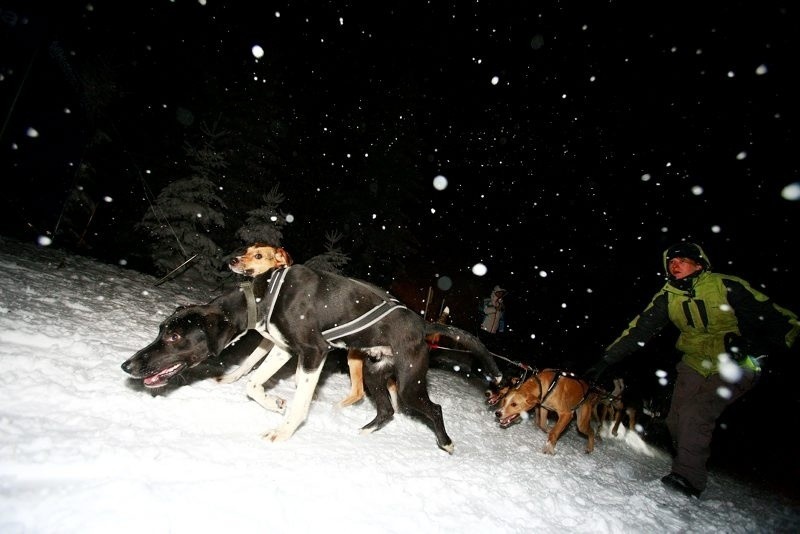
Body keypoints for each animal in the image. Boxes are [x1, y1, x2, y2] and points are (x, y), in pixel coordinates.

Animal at [121, 264, 504, 452]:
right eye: (160, 330)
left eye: (174, 337)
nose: (128, 365)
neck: (261, 296)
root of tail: (422, 322)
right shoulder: (282, 347)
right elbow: (253, 383)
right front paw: (273, 402)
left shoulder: (313, 353)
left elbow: (300, 403)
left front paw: (282, 430)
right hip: (375, 374)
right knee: (387, 410)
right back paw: (366, 430)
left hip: (409, 382)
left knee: (433, 409)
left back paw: (446, 443)